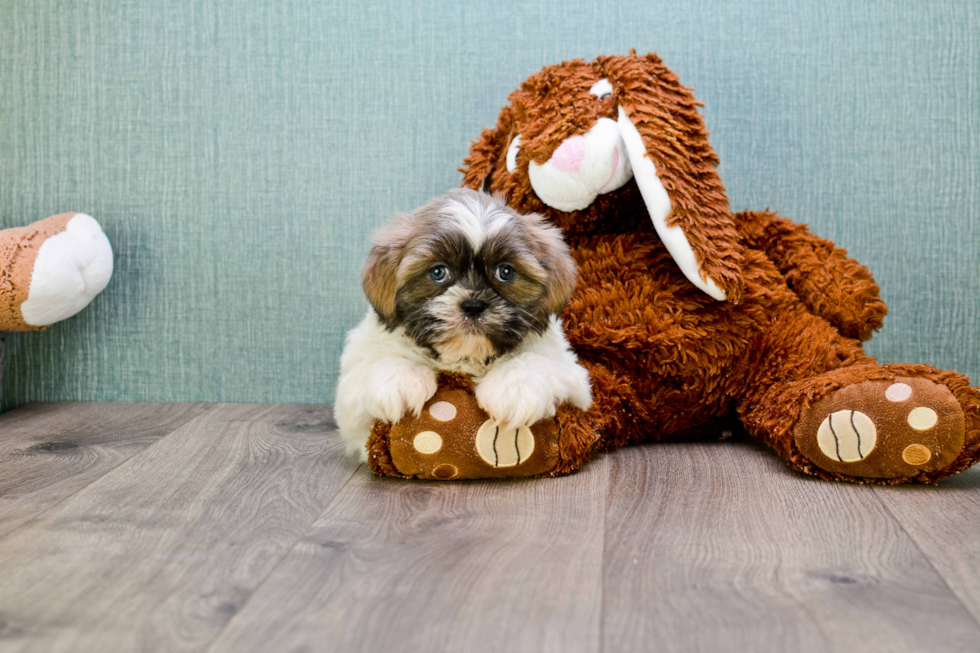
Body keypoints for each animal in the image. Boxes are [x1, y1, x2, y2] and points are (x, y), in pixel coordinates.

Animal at [336, 186, 592, 456]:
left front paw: (512, 389)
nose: (473, 305)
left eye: (505, 272)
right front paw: (401, 380)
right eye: (438, 272)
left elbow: (537, 359)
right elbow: (381, 360)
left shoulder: (574, 379)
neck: (465, 358)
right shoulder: (352, 395)